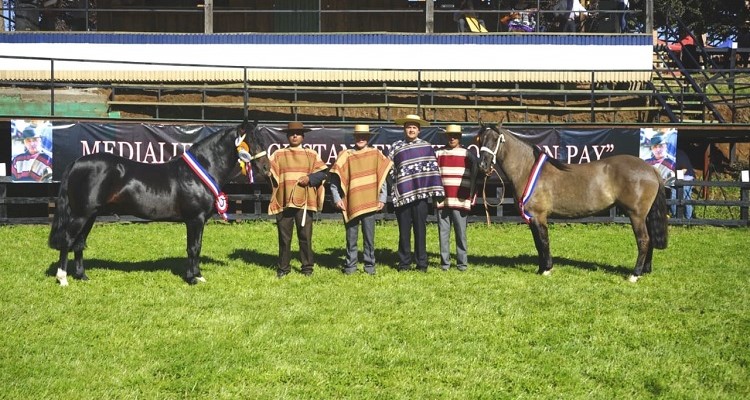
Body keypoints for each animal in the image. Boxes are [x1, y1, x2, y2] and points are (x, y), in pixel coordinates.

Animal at [47, 121, 270, 284]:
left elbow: (197, 246)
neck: (199, 172)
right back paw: (63, 279)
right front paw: (192, 279)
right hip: (81, 215)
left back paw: (82, 276)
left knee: (79, 243)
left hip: (90, 215)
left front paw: (198, 275)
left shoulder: (198, 221)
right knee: (67, 240)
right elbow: (193, 248)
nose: (267, 167)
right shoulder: (195, 219)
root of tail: (76, 163)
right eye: (252, 141)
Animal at [476, 122, 668, 282]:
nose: (483, 165)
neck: (528, 169)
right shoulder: (532, 219)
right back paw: (645, 270)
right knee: (650, 240)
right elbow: (538, 243)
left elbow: (543, 241)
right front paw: (540, 269)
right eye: (480, 140)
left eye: (496, 139)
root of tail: (650, 169)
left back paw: (634, 275)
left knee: (643, 240)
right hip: (645, 216)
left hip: (636, 215)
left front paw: (547, 269)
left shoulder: (539, 216)